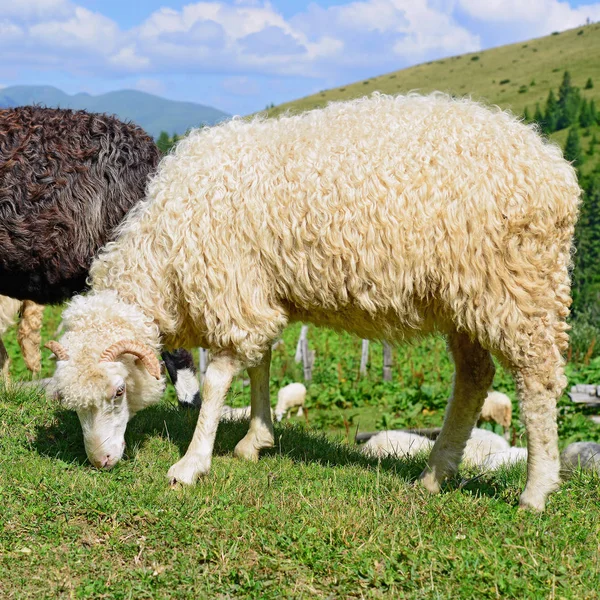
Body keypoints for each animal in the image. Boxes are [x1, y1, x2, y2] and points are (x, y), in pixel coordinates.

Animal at [47, 94, 580, 510]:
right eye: (71, 404)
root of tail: (556, 167)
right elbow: (260, 365)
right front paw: (255, 440)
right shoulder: (259, 292)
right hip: (463, 297)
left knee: (537, 380)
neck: (164, 248)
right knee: (474, 378)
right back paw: (434, 474)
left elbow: (218, 381)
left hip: (518, 286)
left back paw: (535, 490)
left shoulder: (234, 289)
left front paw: (192, 463)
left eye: (118, 392)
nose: (101, 461)